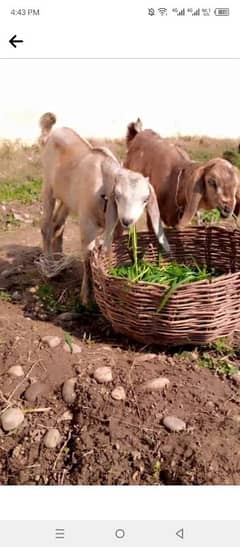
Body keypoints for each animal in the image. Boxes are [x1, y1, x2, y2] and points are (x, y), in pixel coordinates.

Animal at [39, 113, 169, 306]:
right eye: (118, 195)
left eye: (145, 199)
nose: (127, 220)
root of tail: (54, 132)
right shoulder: (87, 225)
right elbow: (87, 259)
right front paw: (87, 298)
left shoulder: (116, 228)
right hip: (48, 186)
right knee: (46, 226)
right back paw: (49, 269)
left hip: (68, 198)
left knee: (57, 224)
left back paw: (59, 262)